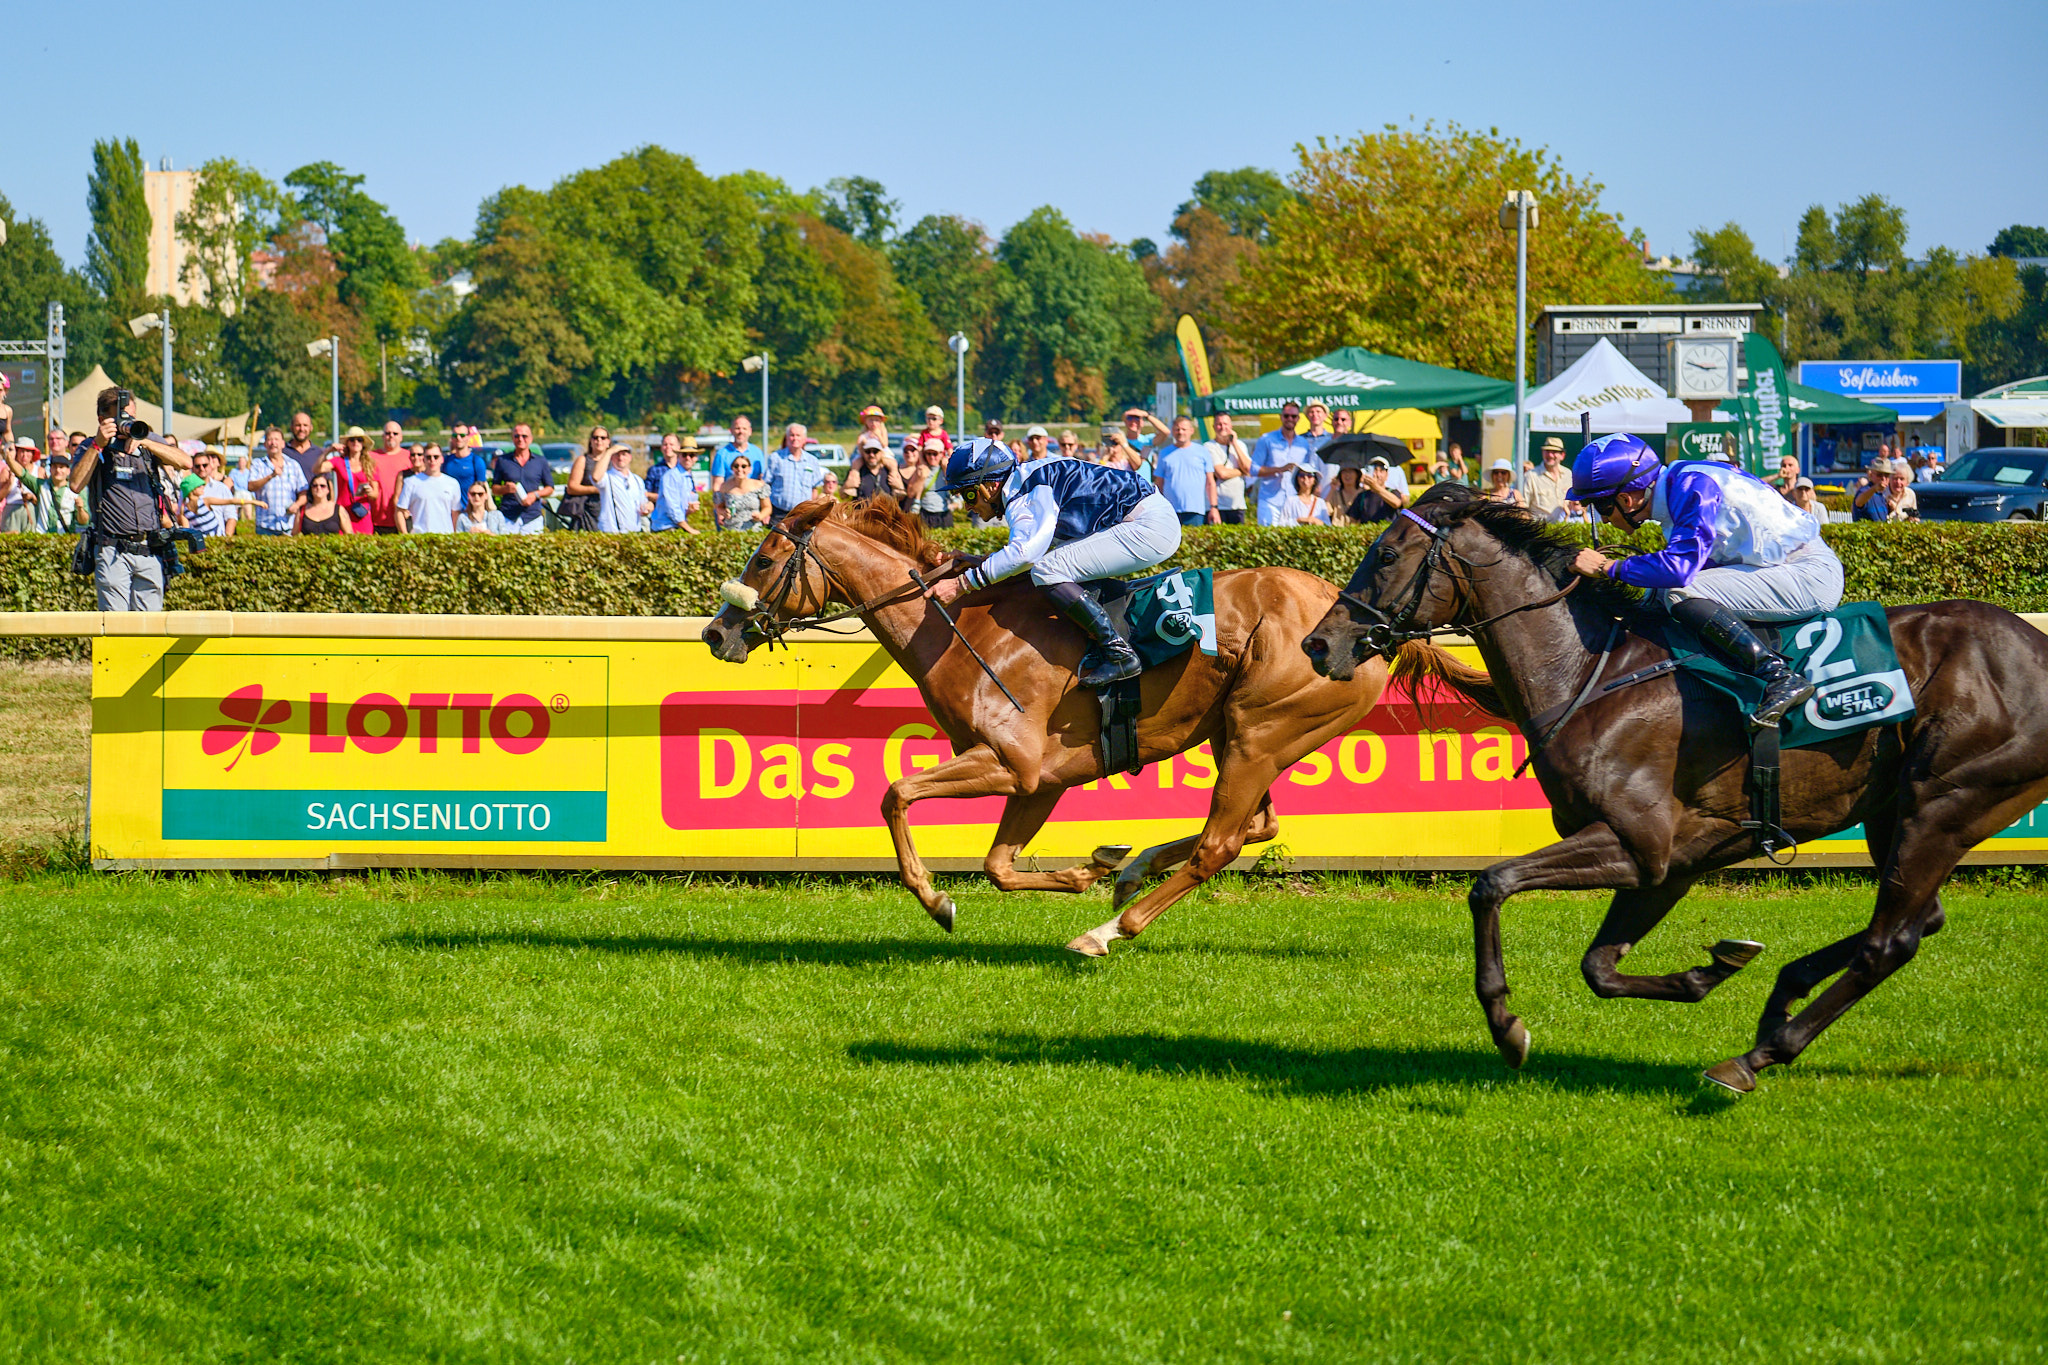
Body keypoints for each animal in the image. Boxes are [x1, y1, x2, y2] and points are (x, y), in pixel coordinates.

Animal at [708, 497, 1409, 957]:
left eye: (764, 560)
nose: (716, 633)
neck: (959, 628)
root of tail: (1367, 628)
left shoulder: (1010, 762)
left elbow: (896, 795)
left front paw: (937, 901)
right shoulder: (1039, 779)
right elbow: (997, 865)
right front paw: (1088, 869)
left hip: (1262, 734)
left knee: (1221, 845)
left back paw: (1107, 932)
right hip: (1237, 734)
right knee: (1258, 827)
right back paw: (1130, 868)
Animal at [1302, 485, 2048, 1096]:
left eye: (1387, 554)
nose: (1317, 645)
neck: (1591, 673)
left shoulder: (1641, 843)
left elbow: (1491, 884)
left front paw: (1507, 1027)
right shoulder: (1673, 861)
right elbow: (1599, 966)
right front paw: (1710, 970)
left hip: (1945, 803)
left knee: (1888, 942)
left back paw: (1755, 1057)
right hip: (1896, 813)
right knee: (1920, 921)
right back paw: (1780, 996)